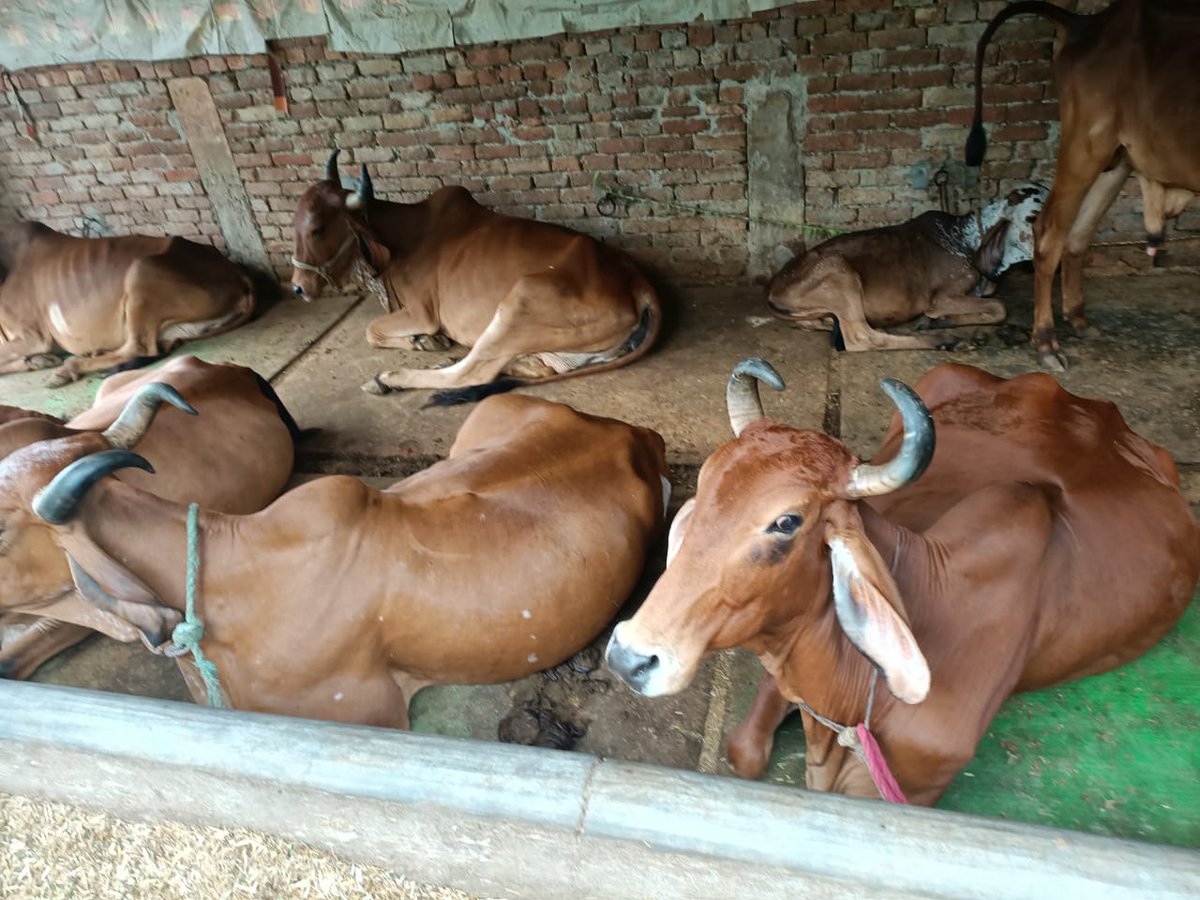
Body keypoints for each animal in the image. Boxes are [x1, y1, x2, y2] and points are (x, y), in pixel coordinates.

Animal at [0, 221, 255, 386]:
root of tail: (235, 271)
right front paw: (37, 361)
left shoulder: (35, 336)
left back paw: (68, 368)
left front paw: (39, 360)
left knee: (137, 348)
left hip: (141, 271)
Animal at [289, 151, 662, 407]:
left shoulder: (422, 313)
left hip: (520, 300)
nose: (297, 286)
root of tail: (637, 282)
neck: (400, 238)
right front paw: (426, 343)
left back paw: (389, 378)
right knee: (528, 368)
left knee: (472, 373)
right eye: (293, 222)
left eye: (318, 228)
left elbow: (371, 330)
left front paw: (423, 341)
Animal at [766, 185, 1047, 351]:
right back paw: (942, 341)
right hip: (838, 270)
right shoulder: (939, 298)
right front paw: (938, 322)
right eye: (1032, 217)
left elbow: (993, 305)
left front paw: (938, 322)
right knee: (861, 338)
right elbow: (1000, 307)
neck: (967, 239)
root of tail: (773, 289)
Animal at [966, 0, 1200, 370]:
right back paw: (1046, 342)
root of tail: (1086, 23)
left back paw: (1077, 319)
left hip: (1117, 159)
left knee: (1077, 234)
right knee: (1050, 231)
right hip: (1088, 143)